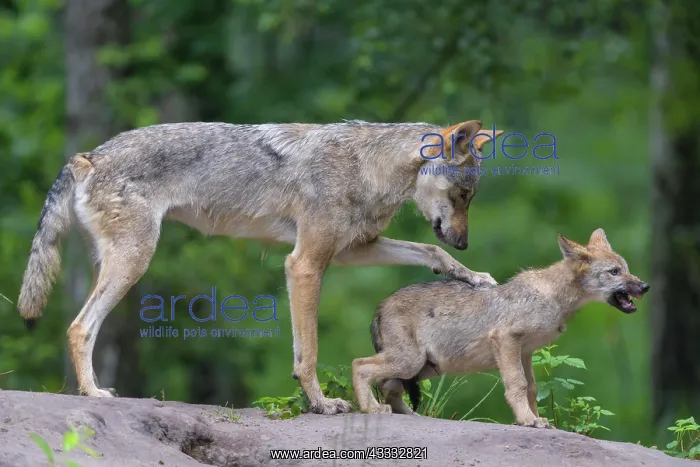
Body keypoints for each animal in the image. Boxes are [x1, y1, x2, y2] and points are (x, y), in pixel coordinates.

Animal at [17, 119, 505, 414]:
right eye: (463, 195)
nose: (464, 241)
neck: (369, 168)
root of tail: (87, 156)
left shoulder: (351, 251)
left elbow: (430, 252)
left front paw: (474, 276)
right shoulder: (305, 264)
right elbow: (309, 351)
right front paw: (322, 405)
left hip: (115, 265)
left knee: (80, 325)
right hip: (133, 263)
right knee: (79, 328)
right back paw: (93, 392)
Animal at [352, 228, 650, 426]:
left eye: (627, 268)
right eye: (614, 272)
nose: (645, 286)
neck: (553, 296)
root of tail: (380, 305)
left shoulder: (526, 351)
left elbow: (531, 388)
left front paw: (536, 419)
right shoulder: (506, 339)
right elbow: (517, 385)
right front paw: (528, 420)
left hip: (423, 367)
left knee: (388, 386)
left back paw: (407, 414)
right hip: (410, 362)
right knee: (360, 365)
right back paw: (371, 410)